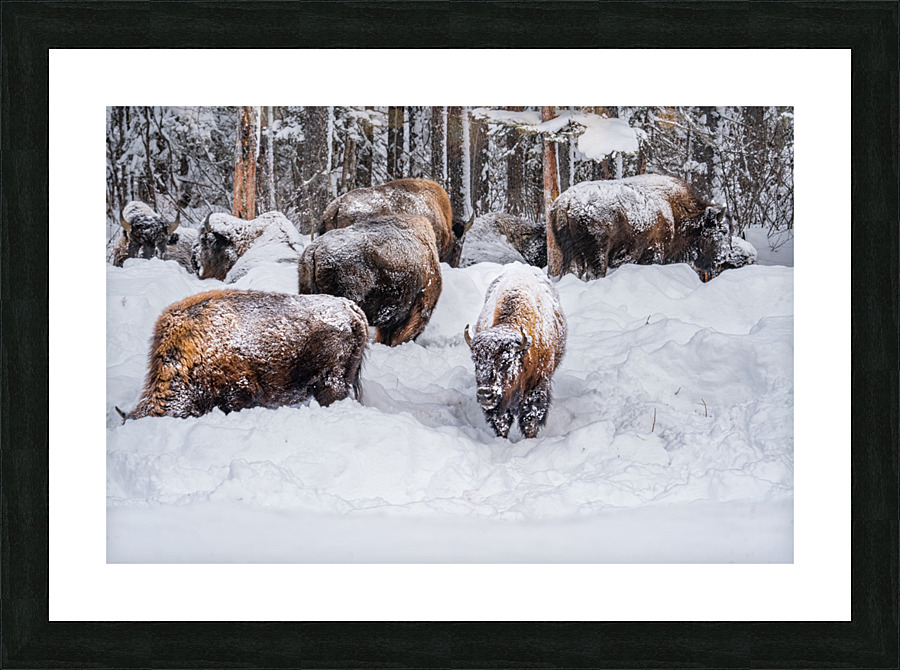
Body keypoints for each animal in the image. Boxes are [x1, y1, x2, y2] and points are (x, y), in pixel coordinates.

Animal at [465, 264, 567, 439]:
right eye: (475, 361)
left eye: (506, 362)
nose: (485, 395)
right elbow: (502, 420)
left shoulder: (538, 385)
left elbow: (530, 418)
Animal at [549, 174, 753, 281]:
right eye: (723, 231)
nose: (725, 255)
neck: (675, 212)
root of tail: (566, 202)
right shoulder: (653, 253)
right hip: (597, 254)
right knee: (594, 273)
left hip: (572, 253)